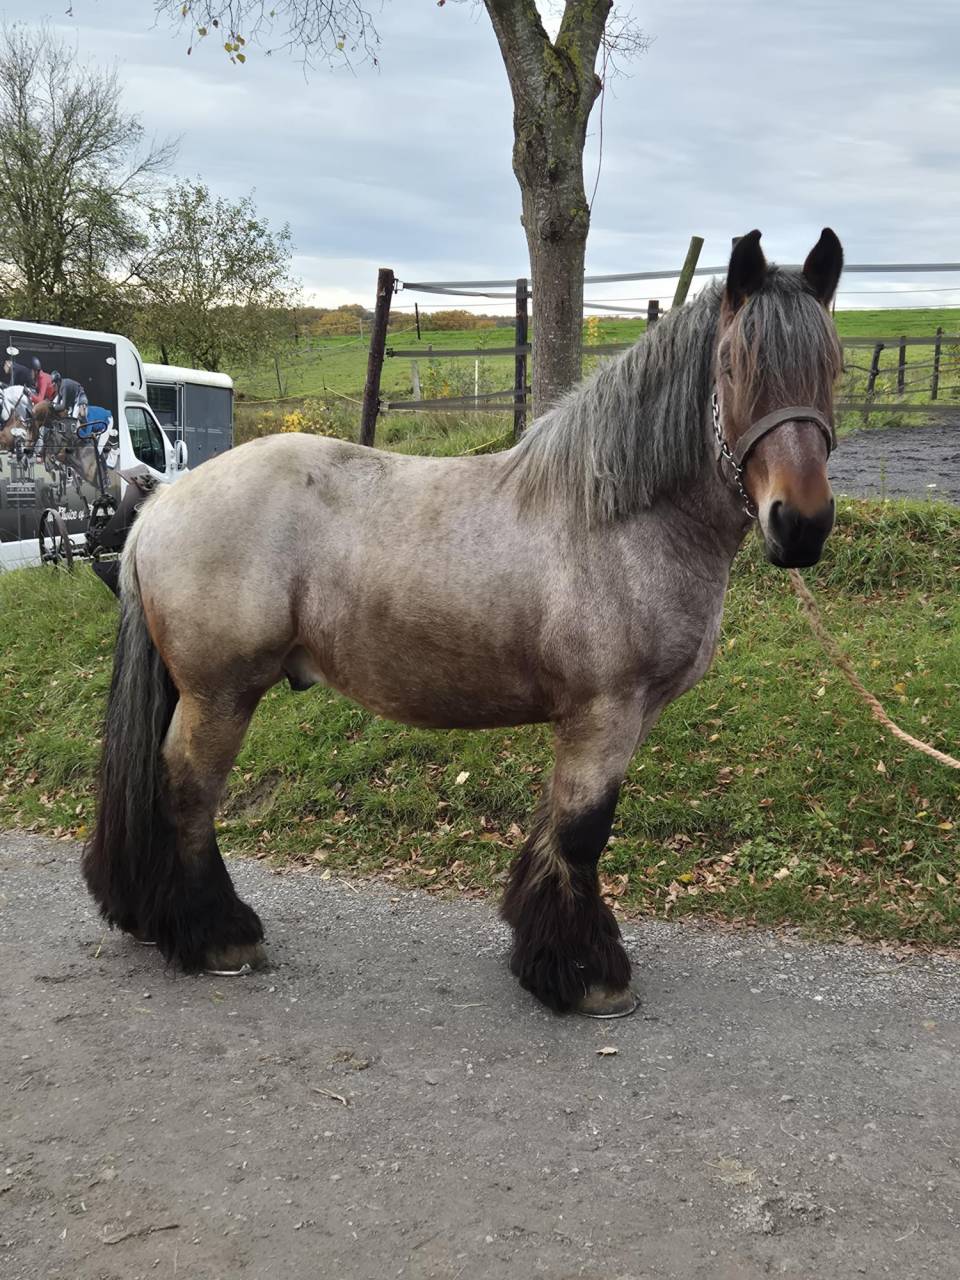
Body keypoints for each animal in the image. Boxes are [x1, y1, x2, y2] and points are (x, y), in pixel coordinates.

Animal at [83, 228, 844, 1016]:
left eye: (833, 366)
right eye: (735, 366)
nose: (801, 525)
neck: (616, 518)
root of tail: (160, 506)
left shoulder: (613, 718)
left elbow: (554, 826)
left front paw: (545, 953)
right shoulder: (605, 712)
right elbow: (583, 833)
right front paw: (587, 974)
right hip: (219, 695)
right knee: (187, 794)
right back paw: (218, 936)